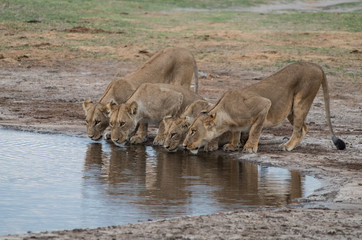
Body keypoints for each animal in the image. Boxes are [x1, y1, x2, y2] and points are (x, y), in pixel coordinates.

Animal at [184, 62, 346, 155]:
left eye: (193, 131)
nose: (184, 145)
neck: (227, 116)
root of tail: (316, 65)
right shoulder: (236, 125)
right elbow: (236, 133)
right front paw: (233, 146)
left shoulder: (264, 105)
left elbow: (255, 130)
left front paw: (250, 148)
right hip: (290, 109)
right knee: (304, 128)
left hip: (302, 101)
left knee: (299, 129)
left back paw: (287, 146)